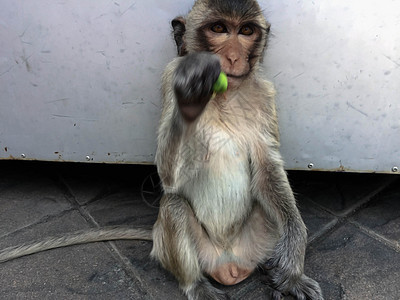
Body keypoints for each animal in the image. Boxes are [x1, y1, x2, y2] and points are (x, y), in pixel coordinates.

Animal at [0, 1, 322, 298]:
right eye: (219, 28)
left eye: (245, 31)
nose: (232, 57)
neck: (224, 97)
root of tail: (230, 265)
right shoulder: (171, 77)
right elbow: (170, 179)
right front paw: (191, 102)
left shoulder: (265, 94)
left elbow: (267, 166)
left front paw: (293, 262)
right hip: (196, 253)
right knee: (174, 206)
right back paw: (196, 285)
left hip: (256, 241)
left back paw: (280, 271)